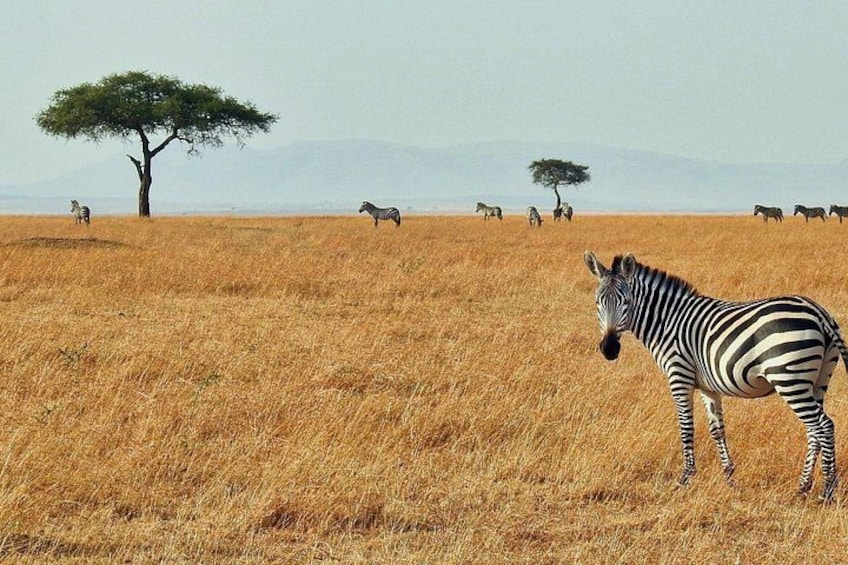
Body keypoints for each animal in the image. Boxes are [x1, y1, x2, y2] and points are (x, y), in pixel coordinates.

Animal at [584, 251, 847, 502]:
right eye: (597, 302)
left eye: (626, 302)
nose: (609, 349)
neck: (667, 322)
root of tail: (818, 312)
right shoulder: (707, 386)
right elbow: (717, 429)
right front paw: (729, 476)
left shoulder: (679, 375)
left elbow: (686, 427)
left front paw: (685, 478)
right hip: (817, 380)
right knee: (814, 430)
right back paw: (803, 487)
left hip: (789, 378)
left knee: (823, 425)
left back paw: (826, 491)